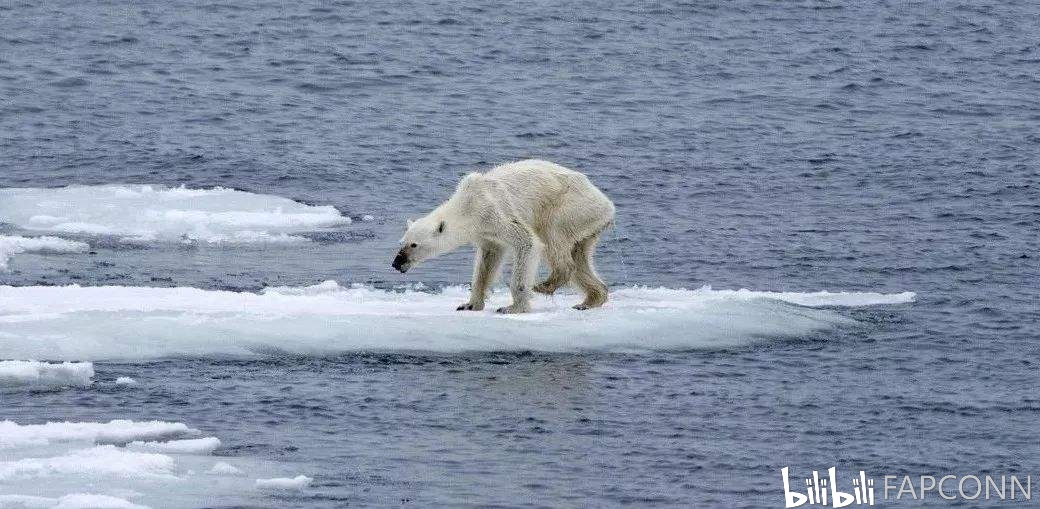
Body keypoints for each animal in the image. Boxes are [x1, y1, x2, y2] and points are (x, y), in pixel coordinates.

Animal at [393, 158, 611, 314]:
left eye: (414, 245)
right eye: (402, 242)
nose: (396, 263)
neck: (468, 205)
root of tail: (607, 204)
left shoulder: (494, 212)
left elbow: (527, 242)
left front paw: (512, 307)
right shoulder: (485, 232)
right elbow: (488, 260)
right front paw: (469, 304)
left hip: (570, 207)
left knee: (553, 237)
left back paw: (545, 285)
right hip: (586, 223)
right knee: (580, 256)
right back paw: (590, 300)